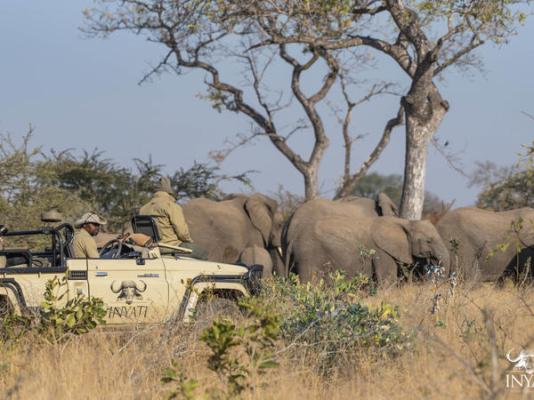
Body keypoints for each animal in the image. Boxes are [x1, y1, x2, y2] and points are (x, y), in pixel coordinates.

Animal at [282, 212, 450, 284]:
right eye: (429, 241)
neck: (406, 222)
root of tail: (293, 239)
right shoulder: (381, 252)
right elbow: (387, 281)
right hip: (308, 256)